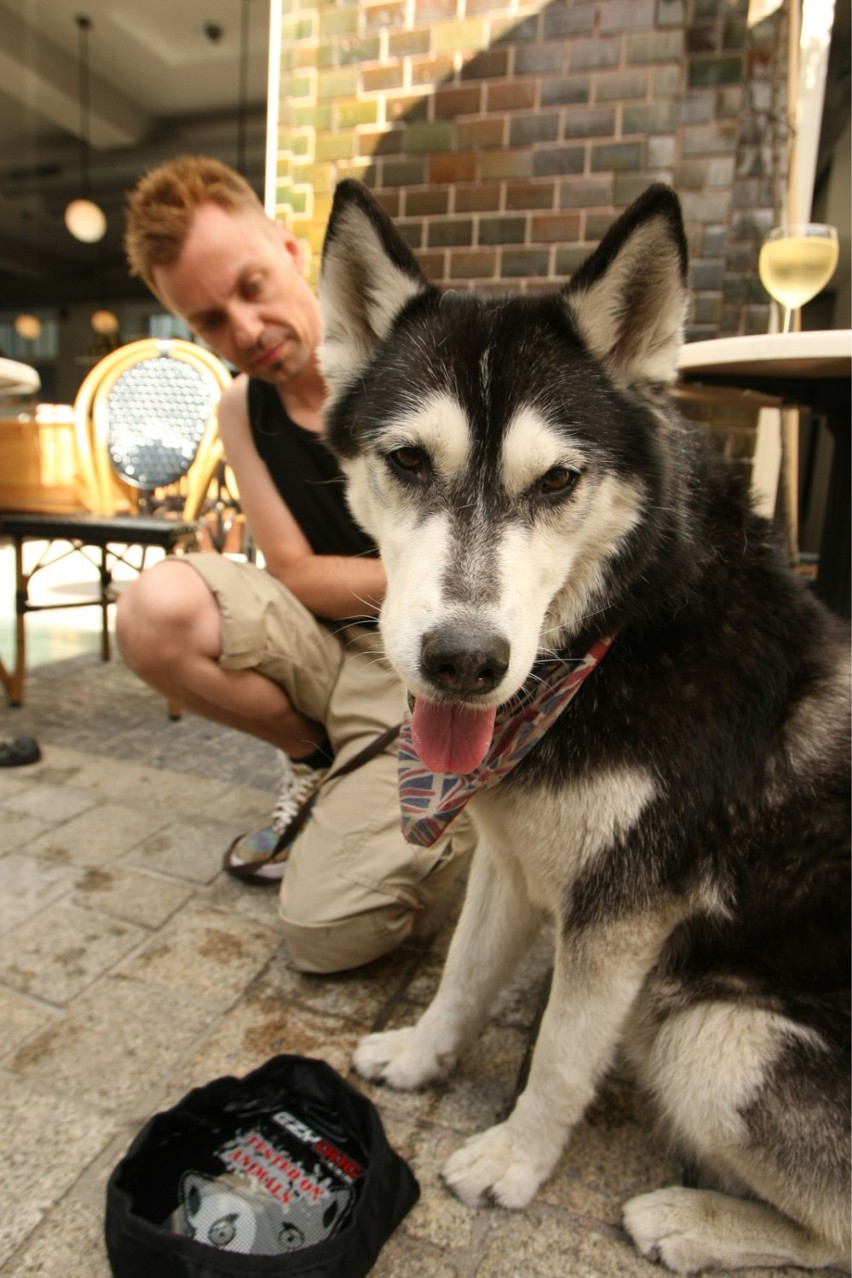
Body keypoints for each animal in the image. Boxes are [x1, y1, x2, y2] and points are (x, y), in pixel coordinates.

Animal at [316, 182, 848, 1278]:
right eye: (407, 461)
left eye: (559, 481)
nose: (463, 661)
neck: (624, 631)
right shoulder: (513, 852)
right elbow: (465, 974)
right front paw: (423, 1057)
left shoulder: (624, 913)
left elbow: (562, 1050)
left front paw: (515, 1161)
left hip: (716, 1035)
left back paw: (689, 1220)